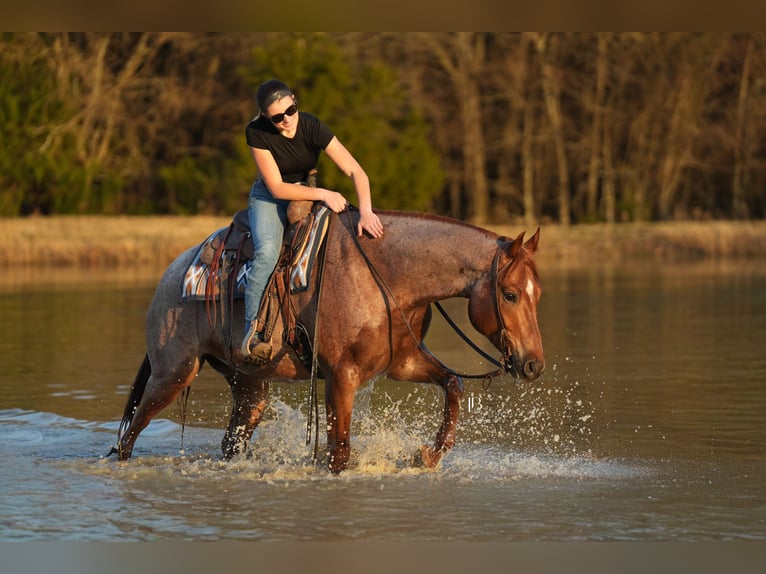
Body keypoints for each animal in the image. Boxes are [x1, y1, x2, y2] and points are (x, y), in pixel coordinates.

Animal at [115, 209, 545, 473]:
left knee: (232, 441)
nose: (533, 364)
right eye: (509, 294)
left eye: (536, 292)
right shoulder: (341, 375)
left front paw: (427, 455)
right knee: (131, 430)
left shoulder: (403, 364)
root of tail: (174, 272)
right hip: (173, 374)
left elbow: (453, 386)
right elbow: (339, 451)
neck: (387, 275)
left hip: (248, 385)